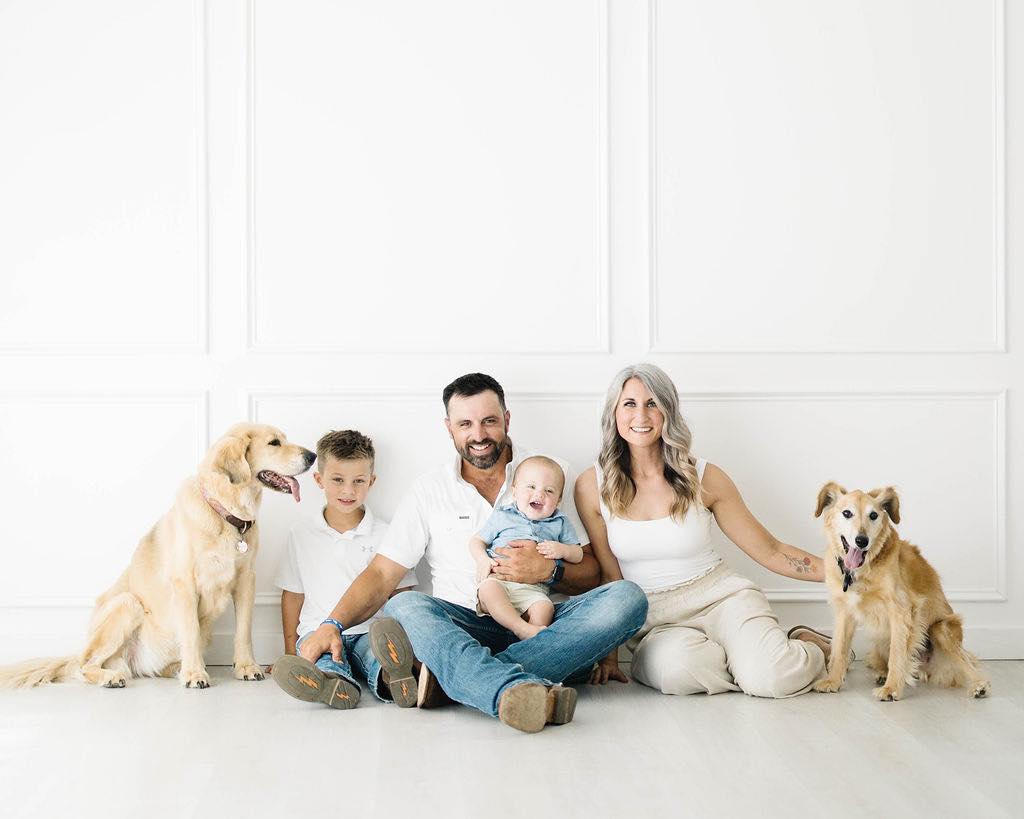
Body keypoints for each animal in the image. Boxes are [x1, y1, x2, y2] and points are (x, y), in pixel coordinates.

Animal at [0, 425, 311, 687]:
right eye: (274, 443)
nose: (310, 456)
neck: (225, 513)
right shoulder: (185, 584)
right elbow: (190, 631)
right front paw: (195, 674)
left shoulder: (246, 580)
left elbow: (244, 631)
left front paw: (246, 667)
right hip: (127, 604)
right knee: (84, 665)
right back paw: (112, 677)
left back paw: (174, 668)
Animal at [811, 483, 987, 700]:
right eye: (847, 513)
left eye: (873, 515)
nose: (862, 540)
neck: (865, 569)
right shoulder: (845, 611)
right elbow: (839, 648)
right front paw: (833, 681)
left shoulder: (901, 608)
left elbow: (897, 652)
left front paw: (892, 688)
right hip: (880, 642)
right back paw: (881, 674)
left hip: (941, 629)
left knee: (968, 664)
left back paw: (979, 685)